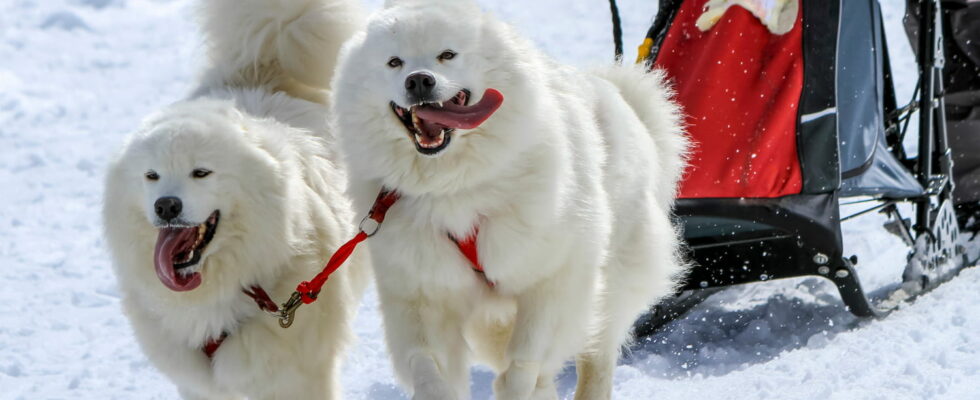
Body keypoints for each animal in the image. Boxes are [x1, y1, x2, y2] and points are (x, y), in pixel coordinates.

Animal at [102, 0, 368, 400]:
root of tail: (265, 64)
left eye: (201, 172)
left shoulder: (300, 377)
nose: (166, 205)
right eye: (152, 176)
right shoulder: (198, 385)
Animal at [330, 0, 688, 400]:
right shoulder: (422, 294)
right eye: (395, 62)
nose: (419, 80)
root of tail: (621, 94)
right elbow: (427, 365)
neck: (452, 187)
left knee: (596, 355)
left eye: (447, 55)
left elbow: (524, 361)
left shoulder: (554, 279)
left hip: (611, 280)